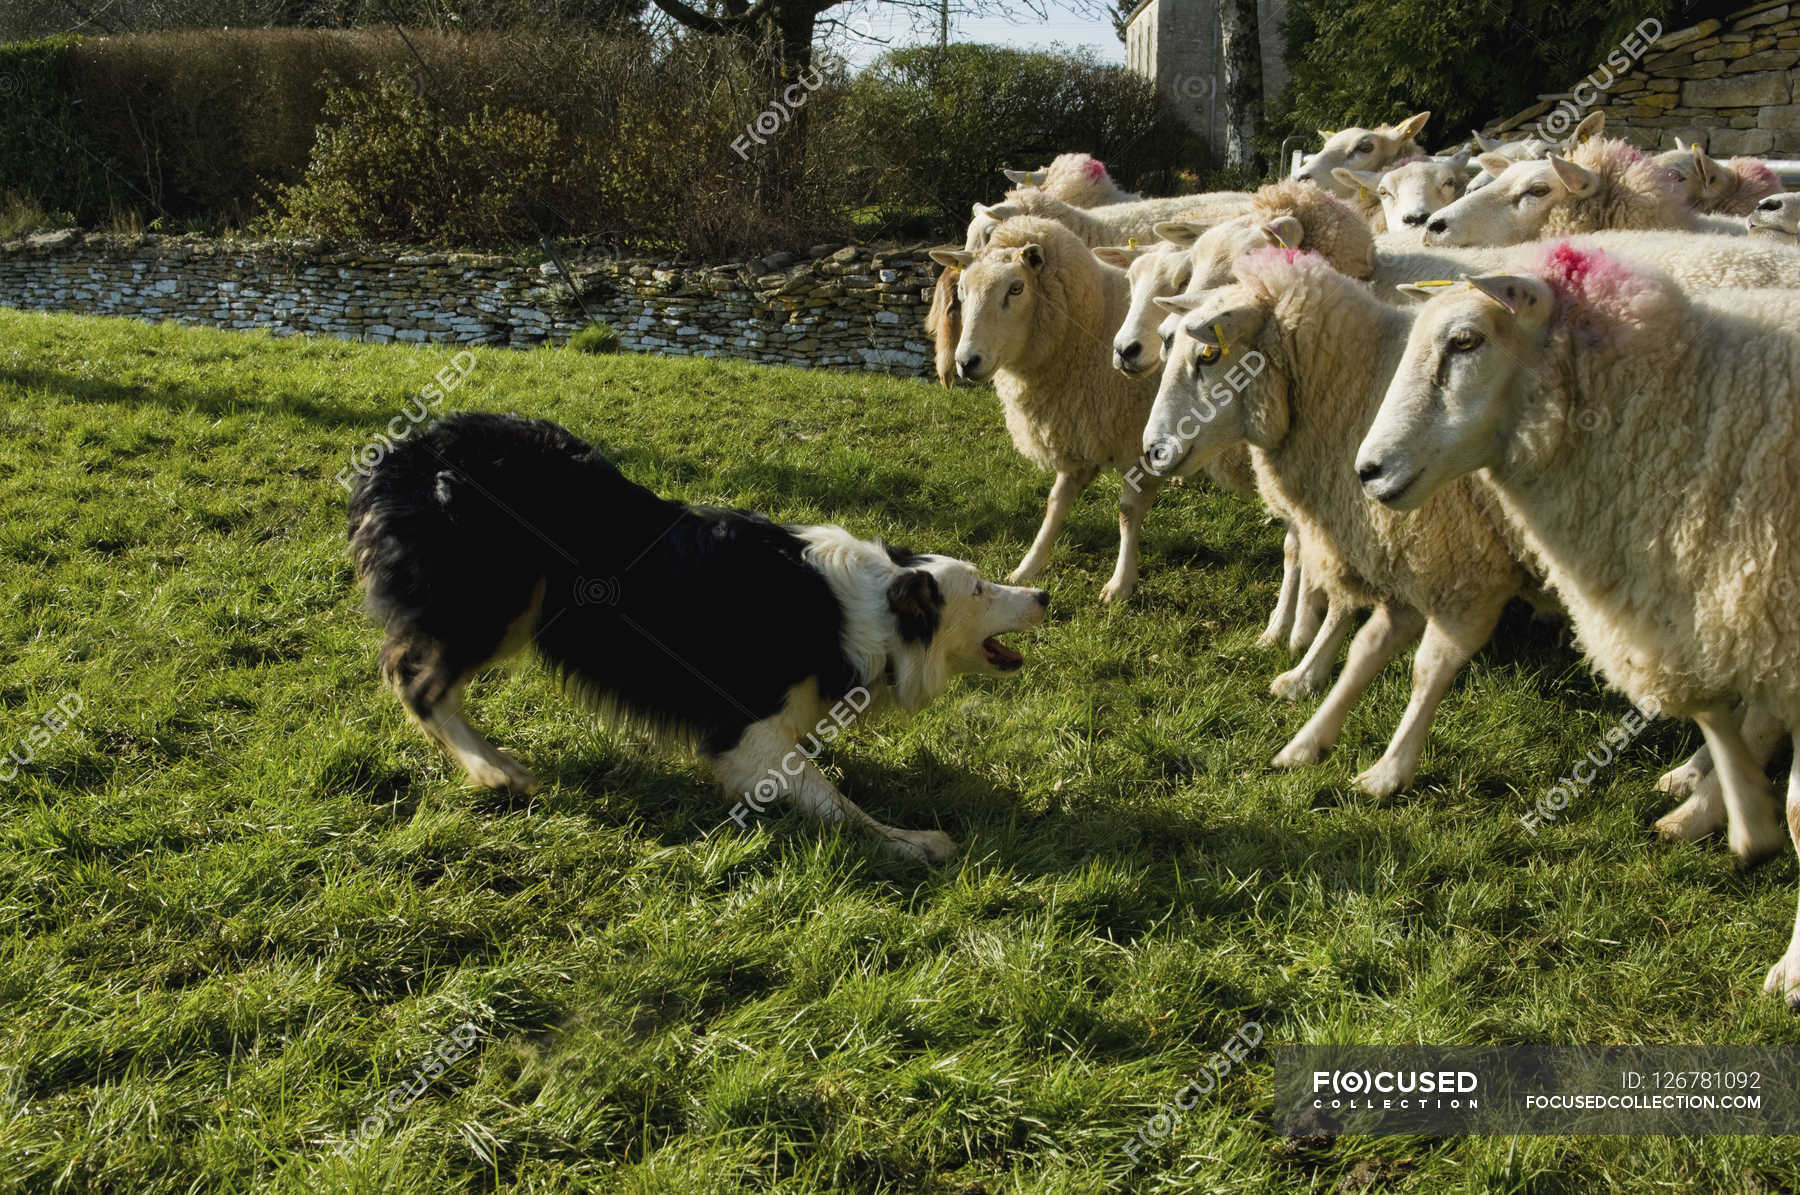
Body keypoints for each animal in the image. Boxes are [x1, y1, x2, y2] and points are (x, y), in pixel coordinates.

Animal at [347, 410, 1051, 860]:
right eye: (980, 588)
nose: (1043, 596)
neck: (874, 608)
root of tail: (406, 453)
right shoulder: (746, 730)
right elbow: (827, 796)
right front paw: (910, 841)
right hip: (500, 596)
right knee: (419, 681)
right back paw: (491, 769)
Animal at [1353, 244, 1800, 1007]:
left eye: (1466, 341)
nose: (1368, 471)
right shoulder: (1713, 597)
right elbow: (1714, 702)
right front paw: (1743, 818)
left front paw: (1792, 970)